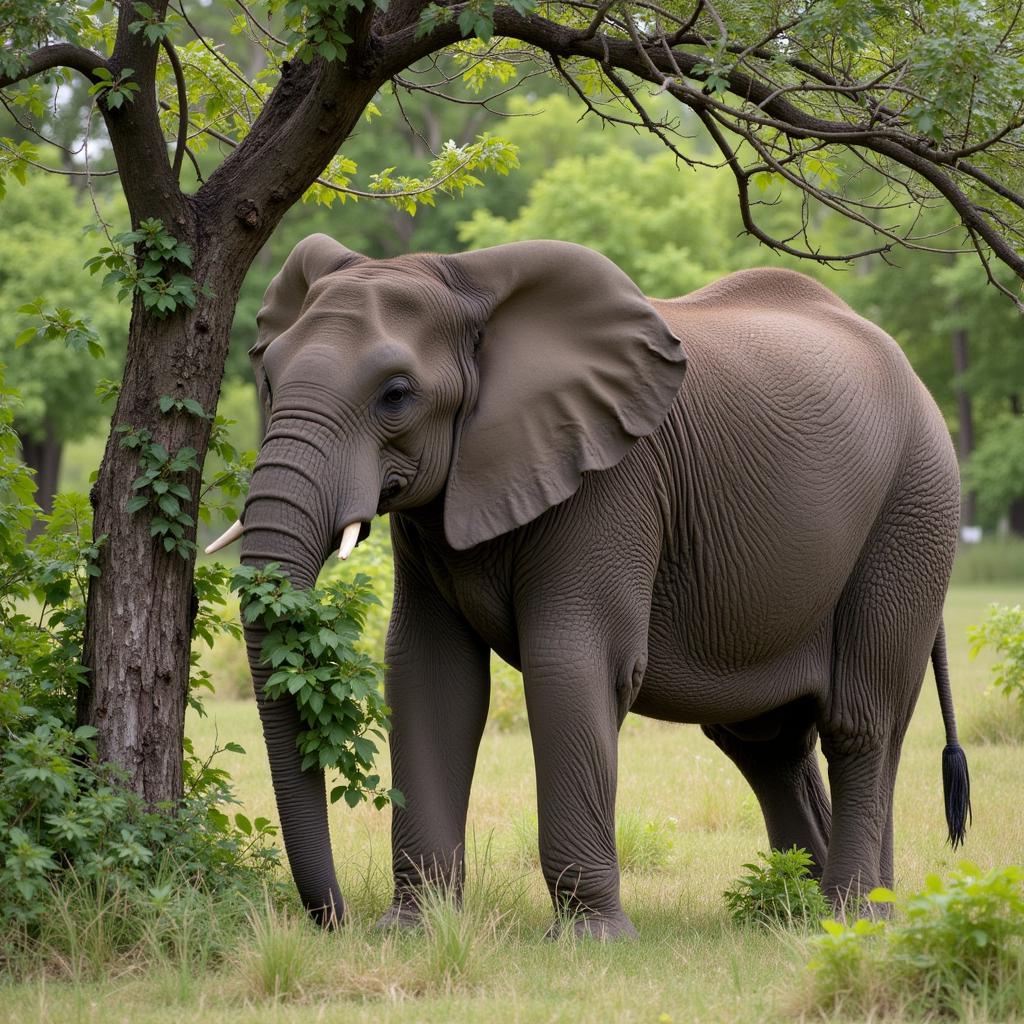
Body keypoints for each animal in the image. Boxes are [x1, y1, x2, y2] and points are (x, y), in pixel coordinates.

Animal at [211, 232, 970, 937]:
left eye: (396, 396)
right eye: (268, 377)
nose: (333, 920)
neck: (467, 285)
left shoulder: (612, 481)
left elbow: (571, 663)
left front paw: (589, 941)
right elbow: (429, 671)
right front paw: (413, 932)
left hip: (913, 510)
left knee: (858, 724)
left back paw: (850, 919)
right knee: (768, 743)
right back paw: (823, 915)